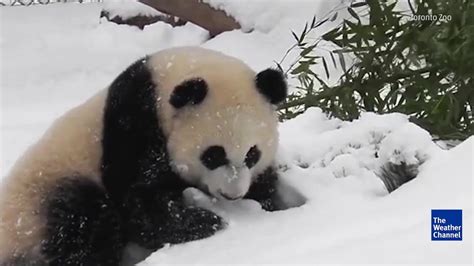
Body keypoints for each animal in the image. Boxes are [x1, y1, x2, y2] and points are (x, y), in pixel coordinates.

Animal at [0, 46, 288, 264]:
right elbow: (140, 204)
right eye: (213, 155)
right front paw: (206, 222)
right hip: (43, 197)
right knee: (85, 225)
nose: (232, 195)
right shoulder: (132, 127)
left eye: (252, 154)